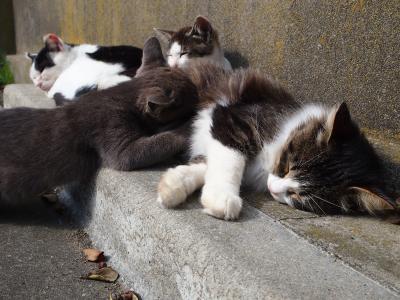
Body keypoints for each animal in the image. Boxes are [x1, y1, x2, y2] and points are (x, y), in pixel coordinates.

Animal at [158, 63, 398, 220]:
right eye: (288, 166)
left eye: (298, 196)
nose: (272, 188)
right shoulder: (231, 119)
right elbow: (230, 160)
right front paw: (221, 197)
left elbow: (207, 164)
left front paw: (173, 184)